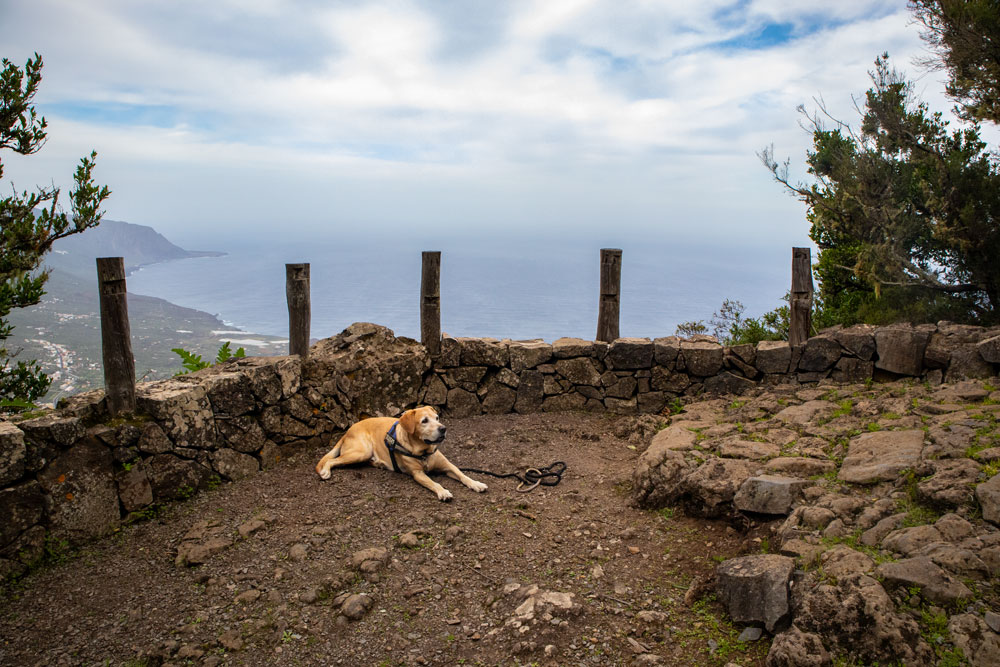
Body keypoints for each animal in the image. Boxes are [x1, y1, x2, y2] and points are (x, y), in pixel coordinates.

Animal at [312, 408, 484, 500]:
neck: (423, 451)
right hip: (361, 451)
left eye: (437, 418)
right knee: (332, 461)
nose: (443, 428)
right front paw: (442, 492)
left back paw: (379, 463)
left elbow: (462, 474)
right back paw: (325, 471)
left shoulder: (448, 465)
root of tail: (347, 431)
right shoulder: (417, 474)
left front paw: (476, 483)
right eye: (424, 421)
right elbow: (434, 483)